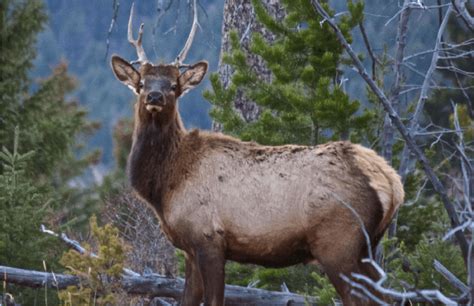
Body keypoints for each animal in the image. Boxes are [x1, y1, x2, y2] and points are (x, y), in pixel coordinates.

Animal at [110, 2, 404, 306]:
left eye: (174, 85)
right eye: (142, 83)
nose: (154, 97)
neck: (166, 186)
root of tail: (392, 183)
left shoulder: (209, 238)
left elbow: (214, 299)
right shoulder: (190, 249)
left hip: (339, 242)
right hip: (368, 246)